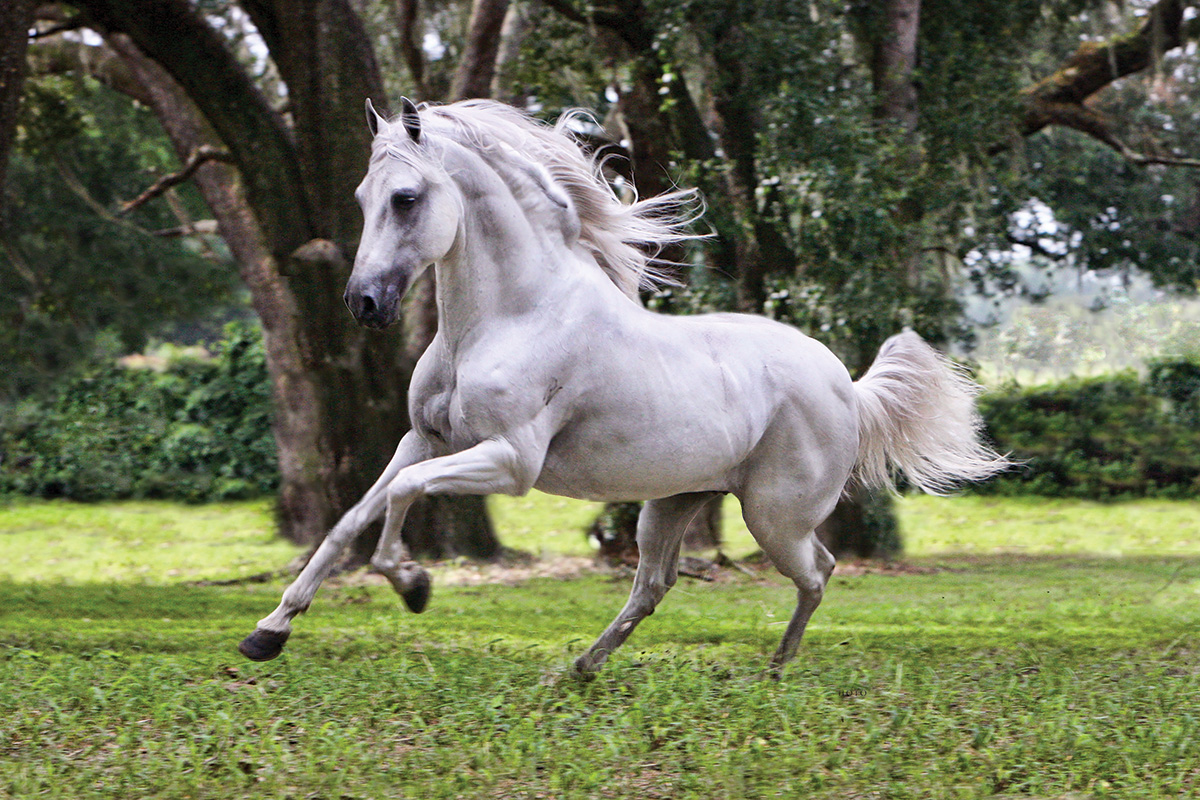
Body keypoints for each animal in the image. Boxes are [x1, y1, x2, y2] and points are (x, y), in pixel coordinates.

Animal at [238, 98, 1008, 676]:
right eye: (362, 197)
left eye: (406, 198)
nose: (363, 303)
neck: (510, 316)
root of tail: (847, 384)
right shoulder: (423, 439)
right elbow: (349, 520)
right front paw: (269, 631)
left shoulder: (510, 463)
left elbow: (398, 499)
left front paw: (414, 585)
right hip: (672, 503)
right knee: (654, 585)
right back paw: (578, 669)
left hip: (775, 516)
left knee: (817, 570)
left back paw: (775, 670)